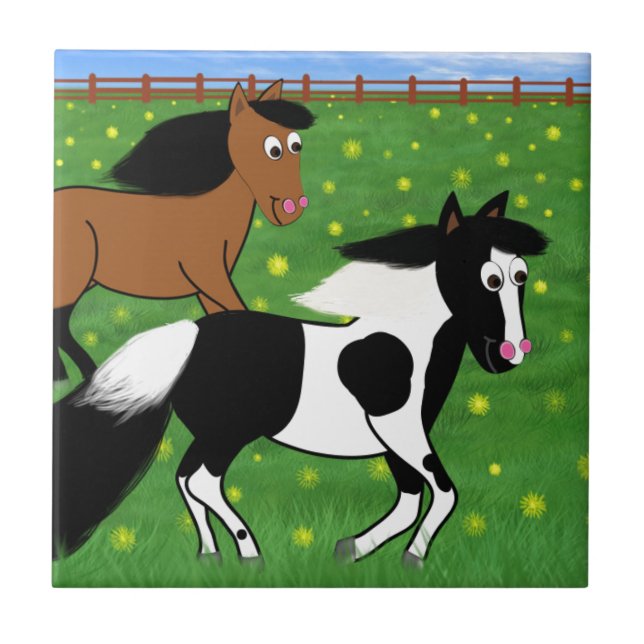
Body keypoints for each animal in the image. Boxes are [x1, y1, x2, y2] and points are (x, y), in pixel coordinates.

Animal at [53, 80, 315, 381]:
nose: (292, 208)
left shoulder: (207, 287)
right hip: (73, 283)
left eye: (296, 144)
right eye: (273, 149)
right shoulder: (211, 278)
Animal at [53, 191, 549, 568]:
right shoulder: (400, 430)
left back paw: (210, 555)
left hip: (212, 434)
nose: (510, 352)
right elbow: (442, 492)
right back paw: (249, 554)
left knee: (185, 479)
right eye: (487, 280)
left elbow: (409, 500)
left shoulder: (395, 442)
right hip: (229, 434)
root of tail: (190, 333)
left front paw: (351, 549)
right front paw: (413, 557)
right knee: (203, 482)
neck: (405, 343)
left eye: (521, 275)